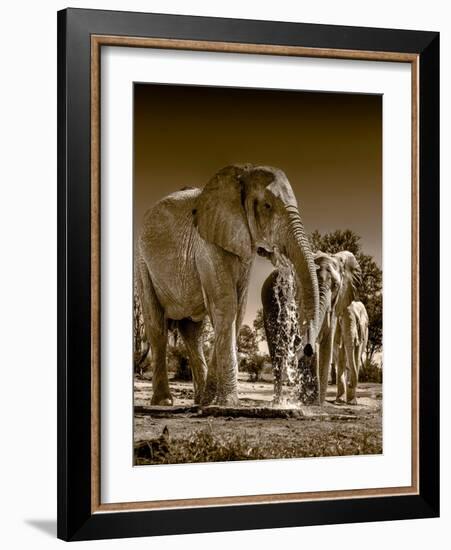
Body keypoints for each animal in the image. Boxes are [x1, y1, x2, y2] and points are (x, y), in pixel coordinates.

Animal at [136, 163, 320, 406]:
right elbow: (226, 306)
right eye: (267, 206)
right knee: (156, 326)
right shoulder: (208, 244)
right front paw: (229, 403)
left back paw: (200, 401)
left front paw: (213, 401)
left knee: (192, 333)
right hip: (142, 264)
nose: (306, 348)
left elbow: (237, 310)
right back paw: (164, 402)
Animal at [262, 250, 364, 406]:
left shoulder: (336, 304)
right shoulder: (298, 299)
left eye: (335, 285)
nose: (308, 349)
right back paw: (278, 401)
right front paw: (311, 400)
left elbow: (327, 342)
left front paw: (318, 403)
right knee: (276, 347)